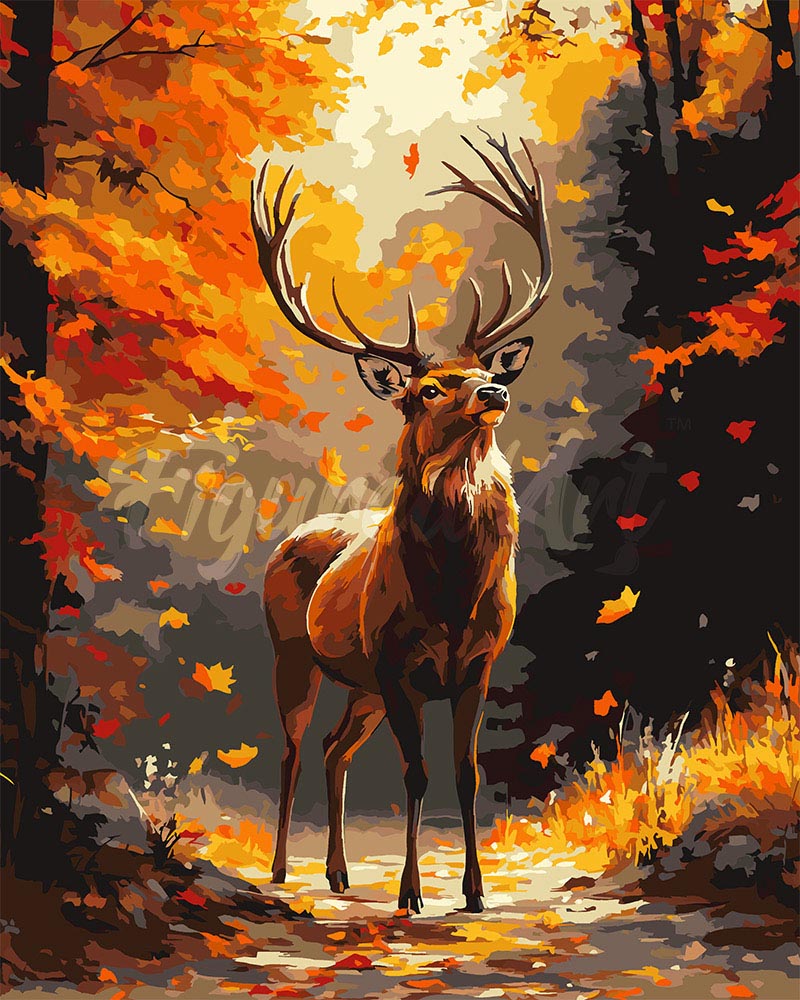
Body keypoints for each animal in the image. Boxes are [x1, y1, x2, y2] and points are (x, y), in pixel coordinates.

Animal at [252, 132, 552, 915]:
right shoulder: (395, 662)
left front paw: (475, 893)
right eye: (427, 390)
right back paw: (281, 872)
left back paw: (339, 872)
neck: (450, 595)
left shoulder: (477, 662)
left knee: (335, 748)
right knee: (294, 748)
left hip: (359, 685)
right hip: (295, 654)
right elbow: (416, 774)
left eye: (480, 367)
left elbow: (466, 775)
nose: (494, 390)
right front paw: (412, 893)